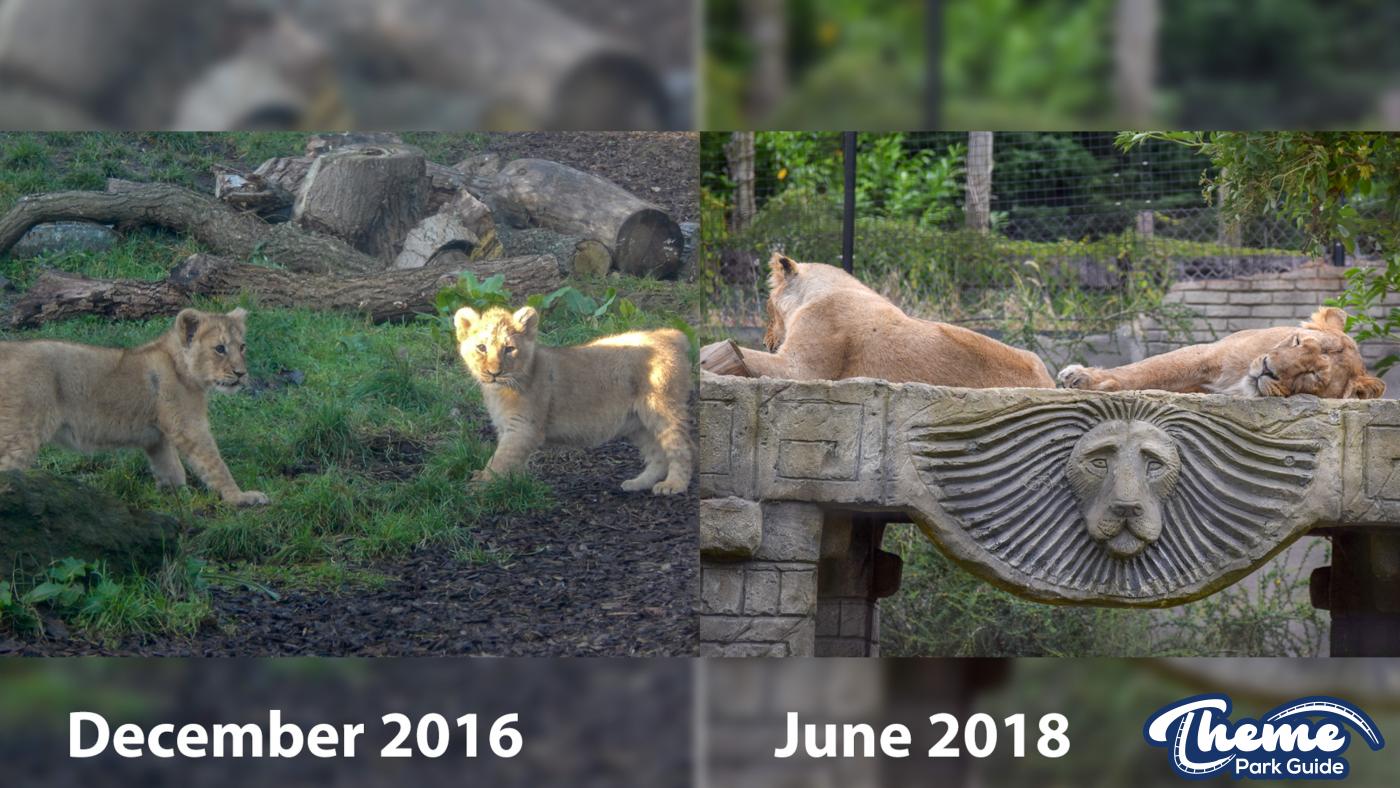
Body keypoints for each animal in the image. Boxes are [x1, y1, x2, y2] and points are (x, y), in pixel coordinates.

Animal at [0, 308, 268, 506]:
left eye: (242, 347)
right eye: (220, 348)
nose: (241, 373)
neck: (181, 367)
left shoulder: (158, 438)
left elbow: (172, 468)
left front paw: (178, 499)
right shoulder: (189, 427)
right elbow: (214, 464)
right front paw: (241, 497)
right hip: (22, 430)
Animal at [454, 305, 693, 496]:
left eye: (509, 349)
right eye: (481, 348)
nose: (494, 372)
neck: (500, 390)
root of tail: (669, 335)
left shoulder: (523, 428)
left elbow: (501, 459)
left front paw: (481, 485)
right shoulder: (507, 428)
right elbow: (509, 460)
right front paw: (509, 484)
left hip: (662, 409)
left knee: (682, 447)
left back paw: (674, 485)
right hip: (637, 422)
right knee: (657, 455)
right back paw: (638, 483)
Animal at [1058, 307, 1386, 399]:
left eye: (1312, 375)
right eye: (1297, 342)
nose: (1267, 369)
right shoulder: (1208, 355)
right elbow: (1148, 369)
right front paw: (1083, 378)